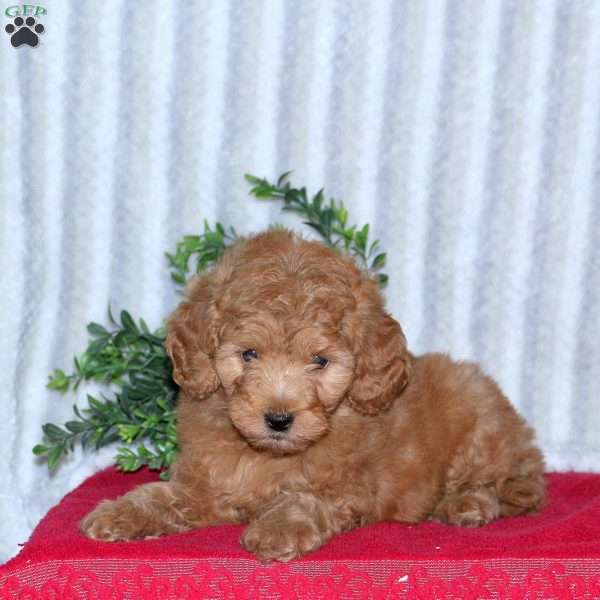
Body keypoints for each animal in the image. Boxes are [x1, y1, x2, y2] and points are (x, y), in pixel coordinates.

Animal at [82, 231, 548, 564]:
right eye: (249, 354)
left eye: (320, 361)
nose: (279, 419)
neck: (269, 456)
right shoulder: (209, 484)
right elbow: (165, 495)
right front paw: (119, 513)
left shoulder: (352, 488)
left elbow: (307, 498)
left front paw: (277, 529)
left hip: (477, 419)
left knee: (504, 483)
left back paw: (465, 504)